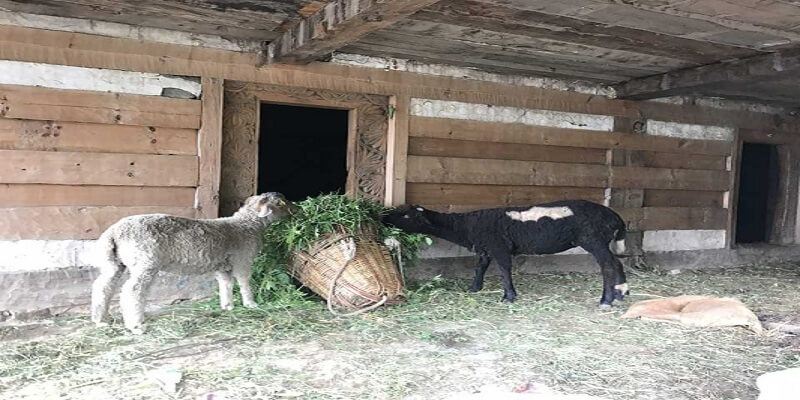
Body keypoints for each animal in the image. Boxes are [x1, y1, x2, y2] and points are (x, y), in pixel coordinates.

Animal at [90, 192, 294, 334]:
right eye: (281, 202)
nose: (296, 210)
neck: (248, 225)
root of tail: (114, 232)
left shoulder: (224, 266)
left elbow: (226, 285)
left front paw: (227, 306)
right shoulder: (243, 260)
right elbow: (244, 282)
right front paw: (251, 304)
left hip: (114, 263)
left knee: (103, 287)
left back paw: (101, 319)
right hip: (144, 262)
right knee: (132, 291)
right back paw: (136, 325)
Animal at [383, 200, 629, 308]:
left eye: (406, 216)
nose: (383, 218)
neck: (467, 226)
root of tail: (616, 217)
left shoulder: (499, 246)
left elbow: (504, 269)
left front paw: (509, 296)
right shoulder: (486, 248)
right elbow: (480, 267)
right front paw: (474, 288)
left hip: (593, 239)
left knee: (608, 265)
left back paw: (606, 300)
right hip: (601, 241)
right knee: (617, 263)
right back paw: (621, 293)